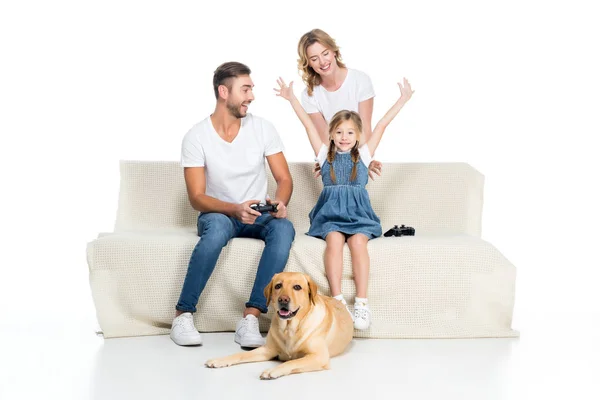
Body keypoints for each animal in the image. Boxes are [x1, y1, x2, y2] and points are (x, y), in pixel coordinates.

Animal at [206, 272, 356, 378]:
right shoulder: (267, 350)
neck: (289, 328)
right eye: (278, 286)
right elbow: (241, 355)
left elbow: (292, 361)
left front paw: (272, 370)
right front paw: (219, 360)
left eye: (297, 287)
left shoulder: (319, 357)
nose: (283, 300)